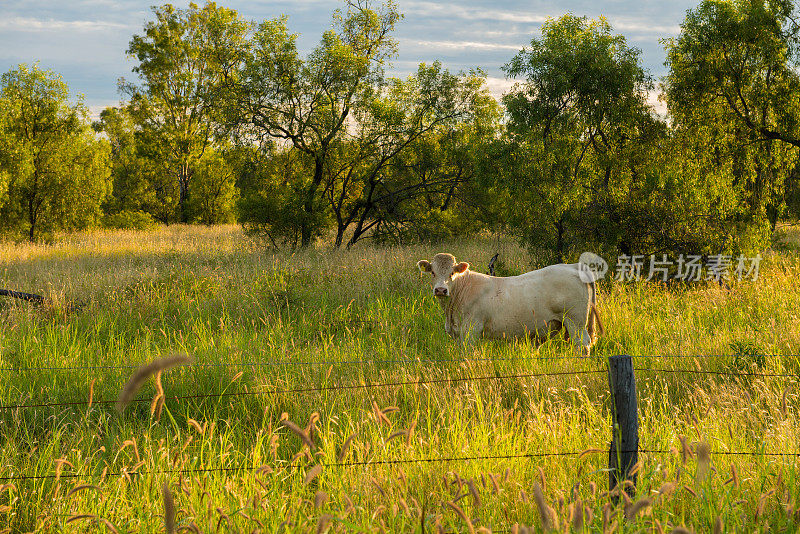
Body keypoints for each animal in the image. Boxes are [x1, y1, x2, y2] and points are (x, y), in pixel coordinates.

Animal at [418, 253, 600, 354]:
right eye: (432, 272)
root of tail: (574, 266)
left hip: (576, 321)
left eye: (452, 273)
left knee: (583, 345)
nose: (440, 290)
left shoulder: (471, 330)